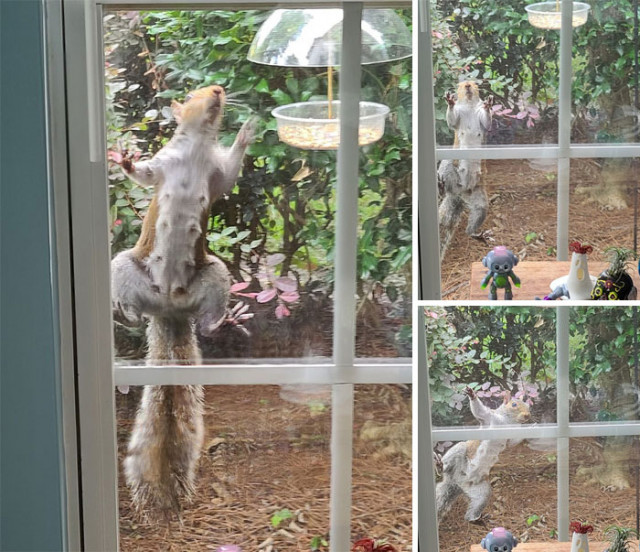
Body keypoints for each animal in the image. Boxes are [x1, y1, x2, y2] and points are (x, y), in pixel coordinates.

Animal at [110, 85, 255, 516]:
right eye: (192, 94)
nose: (219, 90)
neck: (196, 149)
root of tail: (170, 311)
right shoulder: (162, 165)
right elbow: (143, 174)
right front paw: (124, 158)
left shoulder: (217, 172)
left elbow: (231, 174)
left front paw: (247, 130)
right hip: (125, 266)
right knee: (132, 315)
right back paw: (122, 316)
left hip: (215, 275)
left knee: (208, 322)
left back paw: (227, 319)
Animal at [436, 386, 528, 524]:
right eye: (514, 404)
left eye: (528, 406)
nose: (528, 415)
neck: (508, 422)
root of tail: (456, 483)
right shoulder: (488, 418)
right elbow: (480, 412)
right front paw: (472, 394)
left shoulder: (511, 438)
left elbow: (514, 442)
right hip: (460, 452)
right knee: (448, 464)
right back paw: (440, 465)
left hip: (481, 490)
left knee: (476, 505)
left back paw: (476, 520)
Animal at [438, 80, 492, 260]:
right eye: (460, 84)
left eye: (475, 83)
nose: (468, 84)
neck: (468, 105)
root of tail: (459, 193)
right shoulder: (457, 119)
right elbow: (451, 120)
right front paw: (450, 101)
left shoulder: (482, 119)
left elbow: (487, 122)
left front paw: (488, 105)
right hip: (449, 167)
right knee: (445, 174)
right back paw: (441, 186)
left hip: (478, 200)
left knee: (478, 213)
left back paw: (476, 234)